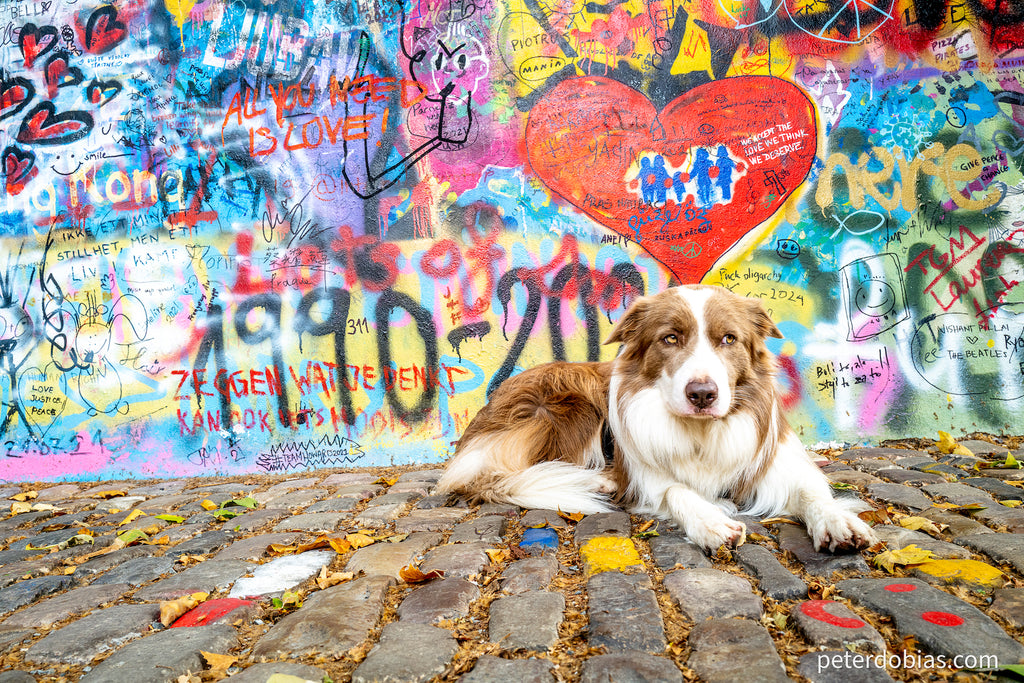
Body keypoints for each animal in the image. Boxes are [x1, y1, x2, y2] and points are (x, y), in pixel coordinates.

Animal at [436, 286, 876, 552]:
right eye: (671, 338)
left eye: (728, 339)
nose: (702, 394)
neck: (700, 430)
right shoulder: (646, 473)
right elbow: (677, 490)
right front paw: (711, 520)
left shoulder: (774, 462)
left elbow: (812, 491)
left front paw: (837, 520)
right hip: (569, 401)